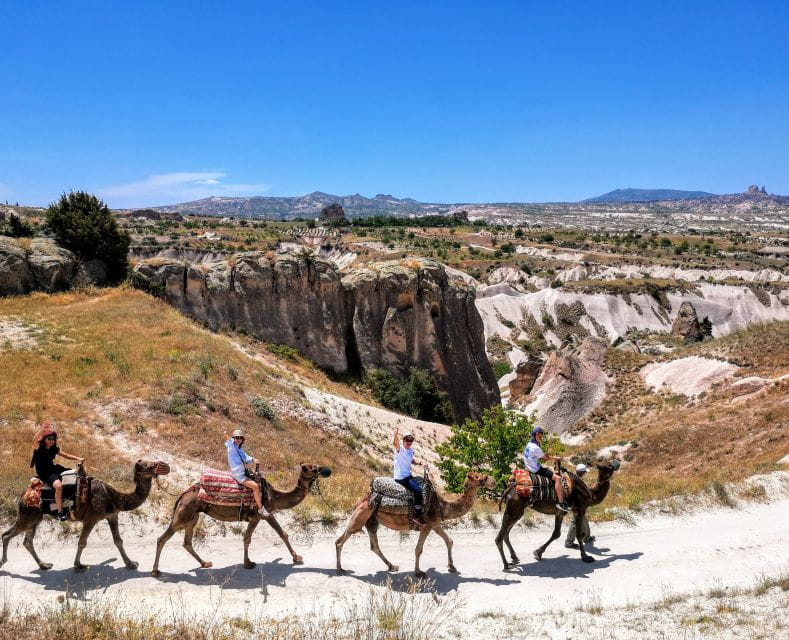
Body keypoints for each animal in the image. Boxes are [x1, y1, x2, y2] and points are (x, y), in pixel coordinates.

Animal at [1, 459, 170, 572]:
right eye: (150, 466)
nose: (165, 466)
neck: (115, 498)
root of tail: (24, 493)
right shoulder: (91, 519)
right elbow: (82, 542)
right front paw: (79, 566)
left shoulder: (112, 515)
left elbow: (118, 541)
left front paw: (131, 564)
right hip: (29, 515)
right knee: (7, 535)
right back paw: (4, 562)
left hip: (34, 518)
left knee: (26, 540)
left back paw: (44, 565)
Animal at [151, 463, 331, 577]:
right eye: (312, 468)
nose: (325, 469)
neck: (274, 495)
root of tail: (184, 494)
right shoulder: (258, 515)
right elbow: (247, 538)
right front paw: (248, 563)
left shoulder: (268, 513)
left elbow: (283, 533)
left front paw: (297, 557)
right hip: (184, 514)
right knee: (162, 538)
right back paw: (155, 571)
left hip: (193, 516)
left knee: (187, 542)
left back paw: (205, 563)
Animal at [335, 471, 495, 577]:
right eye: (478, 476)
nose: (492, 480)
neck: (442, 506)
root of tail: (364, 497)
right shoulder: (428, 525)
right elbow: (418, 549)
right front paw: (418, 572)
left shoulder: (435, 524)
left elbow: (449, 541)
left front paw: (452, 567)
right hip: (360, 516)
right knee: (340, 540)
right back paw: (340, 569)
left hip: (372, 520)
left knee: (374, 545)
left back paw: (392, 566)